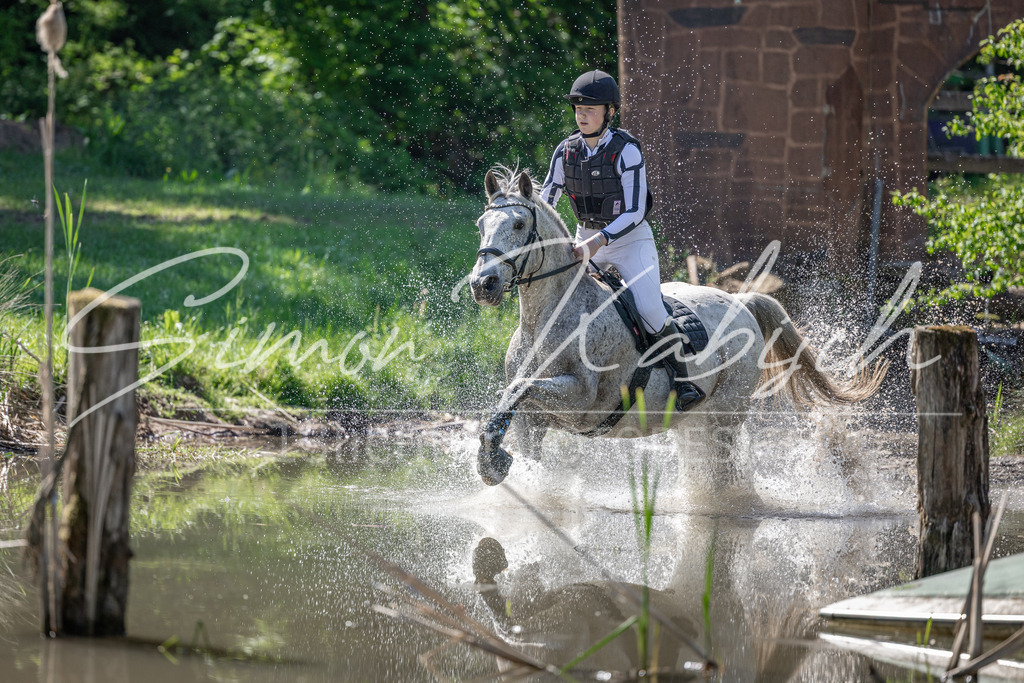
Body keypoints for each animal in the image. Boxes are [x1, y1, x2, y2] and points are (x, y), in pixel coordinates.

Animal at [467, 167, 885, 487]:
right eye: (480, 224)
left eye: (519, 223)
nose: (483, 284)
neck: (547, 317)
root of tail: (742, 303)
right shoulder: (533, 422)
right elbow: (511, 401)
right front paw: (494, 460)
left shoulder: (582, 397)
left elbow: (520, 387)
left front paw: (492, 461)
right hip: (691, 422)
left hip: (725, 417)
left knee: (725, 474)